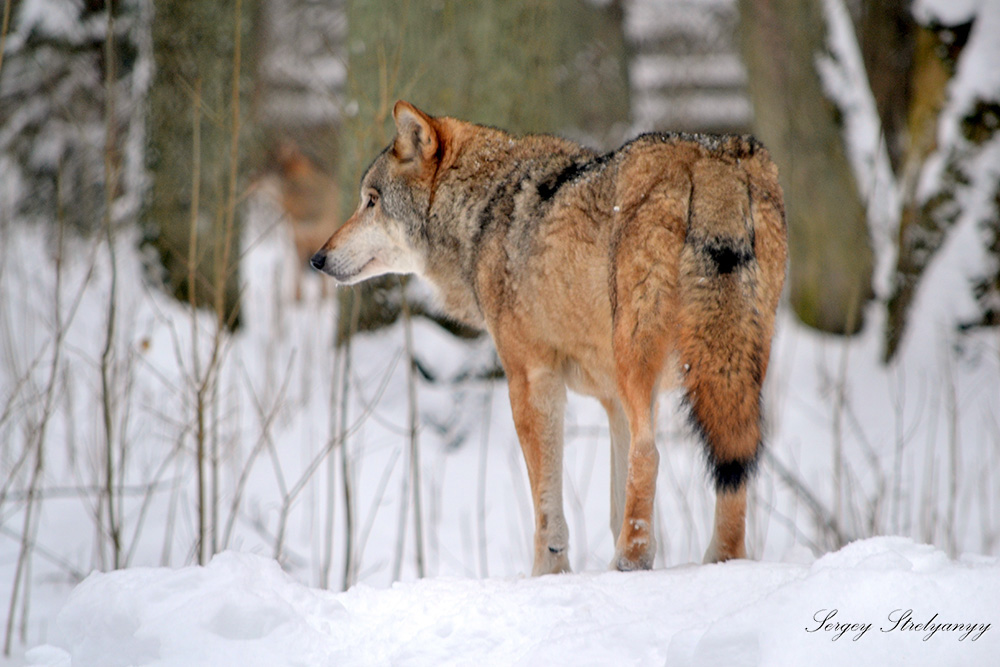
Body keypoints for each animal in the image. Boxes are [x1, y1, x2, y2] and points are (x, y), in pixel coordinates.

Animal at [312, 102, 788, 576]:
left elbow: (546, 504)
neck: (483, 213)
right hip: (735, 375)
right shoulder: (612, 399)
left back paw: (631, 559)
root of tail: (711, 156)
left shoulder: (531, 379)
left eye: (371, 202)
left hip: (641, 359)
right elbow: (615, 500)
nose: (317, 258)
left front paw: (549, 573)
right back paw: (721, 560)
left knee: (650, 453)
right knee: (737, 465)